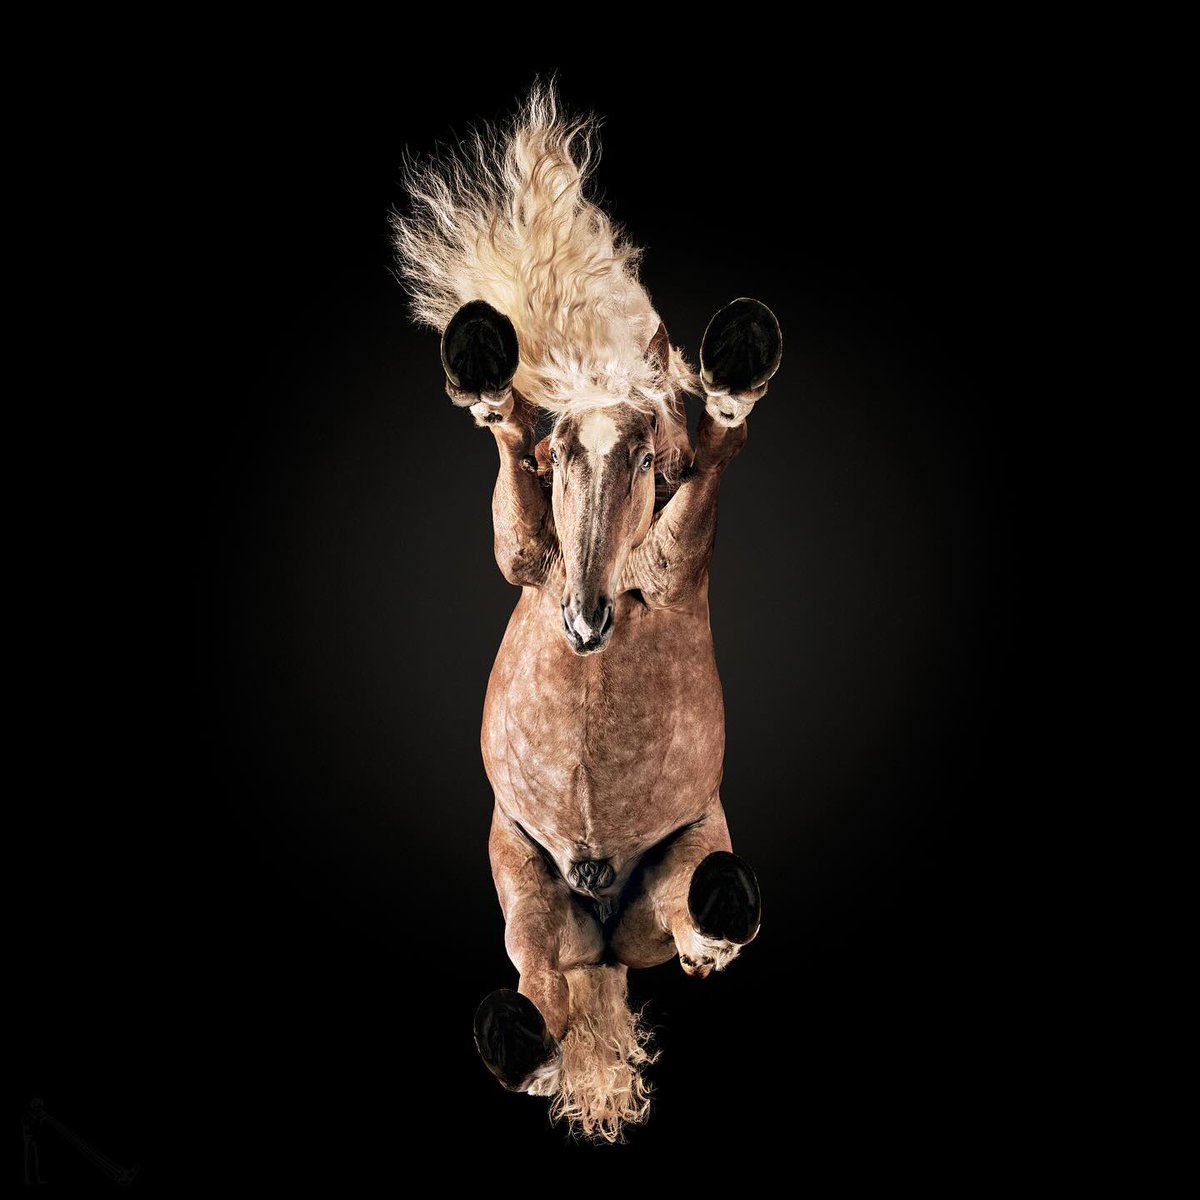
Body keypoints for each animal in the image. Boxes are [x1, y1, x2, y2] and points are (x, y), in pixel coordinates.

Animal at [391, 84, 782, 1141]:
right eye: (556, 458)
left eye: (648, 460)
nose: (586, 619)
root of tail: (601, 930)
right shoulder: (528, 557)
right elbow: (514, 511)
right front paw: (487, 384)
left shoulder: (675, 562)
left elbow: (705, 483)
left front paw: (735, 378)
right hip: (531, 895)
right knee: (543, 989)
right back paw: (529, 1050)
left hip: (675, 877)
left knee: (697, 921)